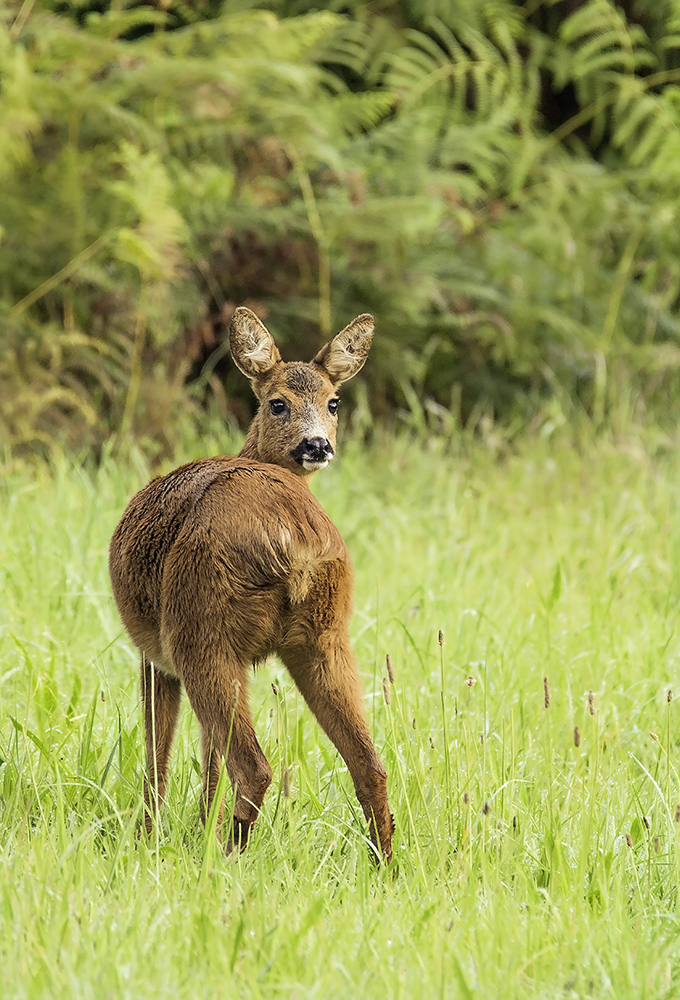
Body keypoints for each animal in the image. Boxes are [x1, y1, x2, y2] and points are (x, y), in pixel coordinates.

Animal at [109, 304, 396, 860]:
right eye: (277, 402)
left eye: (333, 402)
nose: (317, 444)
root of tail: (295, 538)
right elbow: (205, 757)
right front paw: (195, 826)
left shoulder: (153, 655)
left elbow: (161, 751)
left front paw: (150, 837)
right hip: (326, 633)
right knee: (370, 762)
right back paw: (387, 866)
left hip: (198, 628)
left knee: (255, 766)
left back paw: (224, 858)